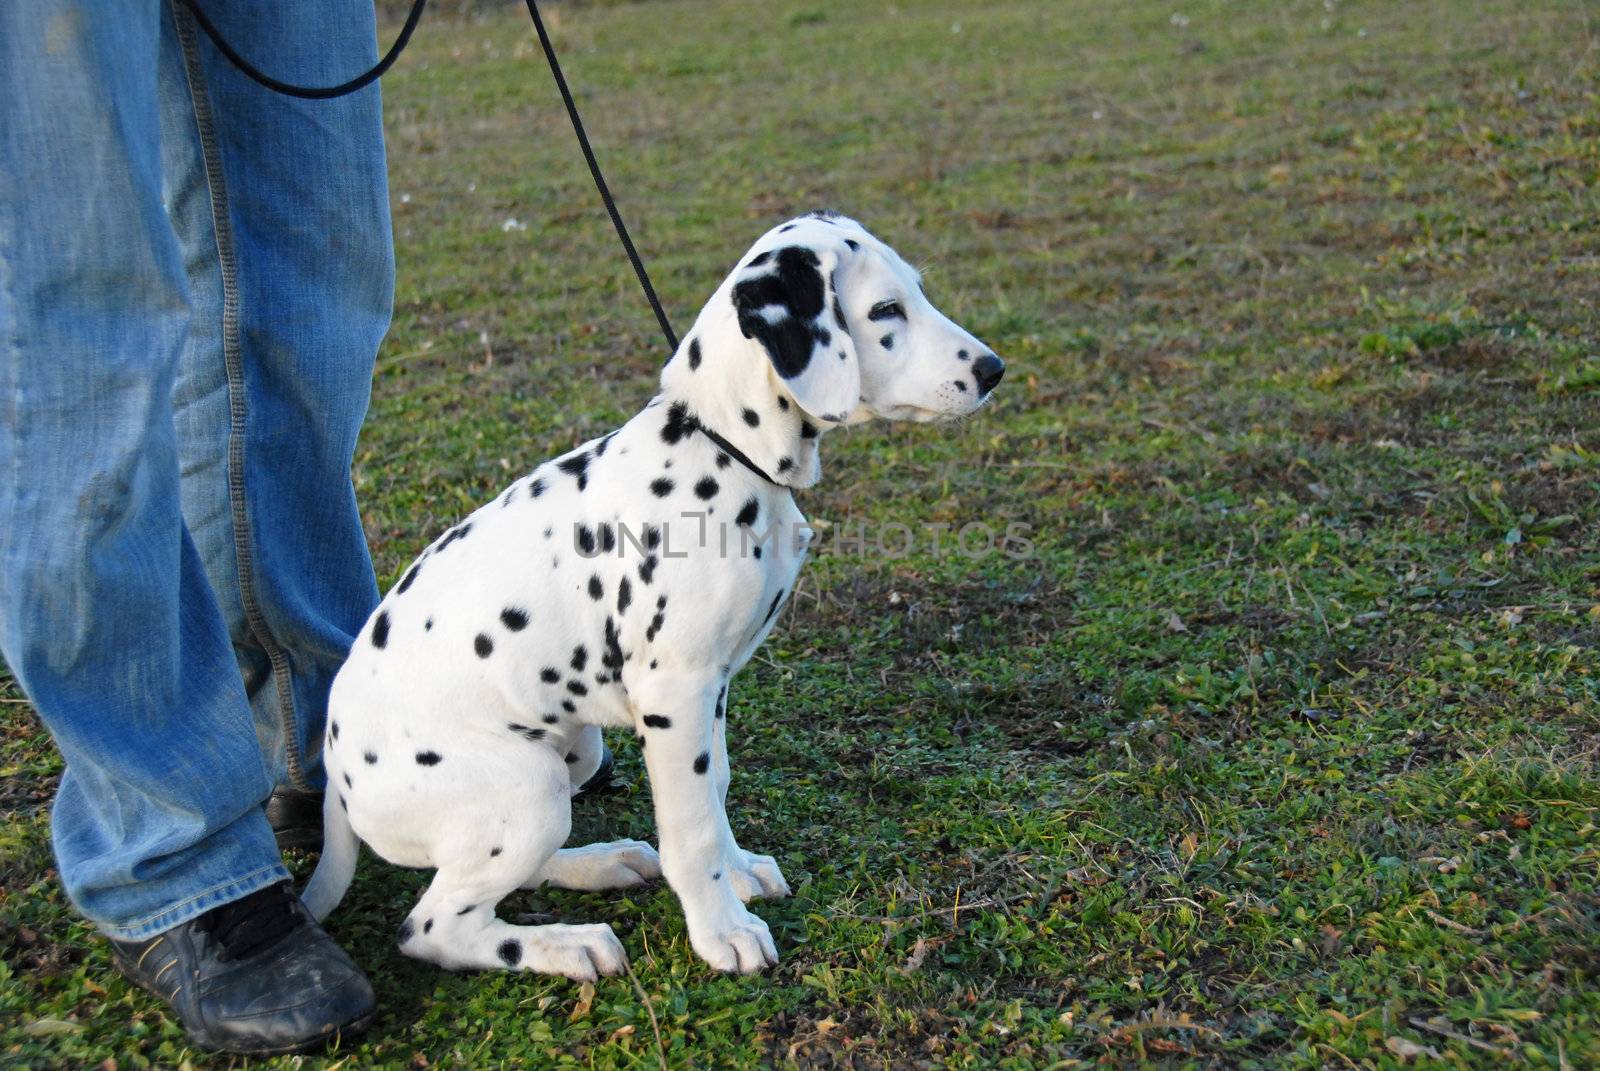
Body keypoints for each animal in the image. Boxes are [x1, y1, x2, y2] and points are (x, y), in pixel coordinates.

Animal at [302, 208, 998, 979]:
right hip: (529, 785)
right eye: (884, 311)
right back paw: (567, 943)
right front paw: (721, 929)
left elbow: (716, 786)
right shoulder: (676, 692)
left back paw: (598, 863)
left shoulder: (713, 686)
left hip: (570, 754)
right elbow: (691, 826)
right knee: (433, 925)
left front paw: (737, 874)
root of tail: (335, 776)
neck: (719, 446)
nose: (992, 370)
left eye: (917, 292)